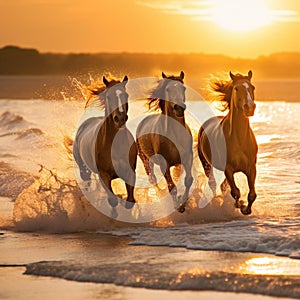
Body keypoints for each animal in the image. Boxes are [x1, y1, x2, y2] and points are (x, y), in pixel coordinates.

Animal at [72, 75, 137, 209]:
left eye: (126, 95)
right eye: (108, 96)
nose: (120, 118)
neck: (116, 147)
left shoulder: (130, 172)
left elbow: (130, 201)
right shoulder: (104, 175)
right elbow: (112, 200)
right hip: (84, 170)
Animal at [135, 71, 192, 212]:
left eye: (183, 88)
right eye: (167, 89)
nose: (179, 108)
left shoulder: (187, 158)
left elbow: (188, 180)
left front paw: (184, 202)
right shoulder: (164, 163)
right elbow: (172, 187)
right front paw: (178, 206)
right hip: (145, 160)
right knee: (153, 179)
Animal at [197, 70, 258, 216]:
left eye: (252, 87)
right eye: (236, 88)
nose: (250, 108)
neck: (239, 139)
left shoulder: (251, 168)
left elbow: (252, 194)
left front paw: (246, 209)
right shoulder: (228, 169)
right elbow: (235, 192)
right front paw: (240, 205)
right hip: (207, 165)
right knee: (213, 185)